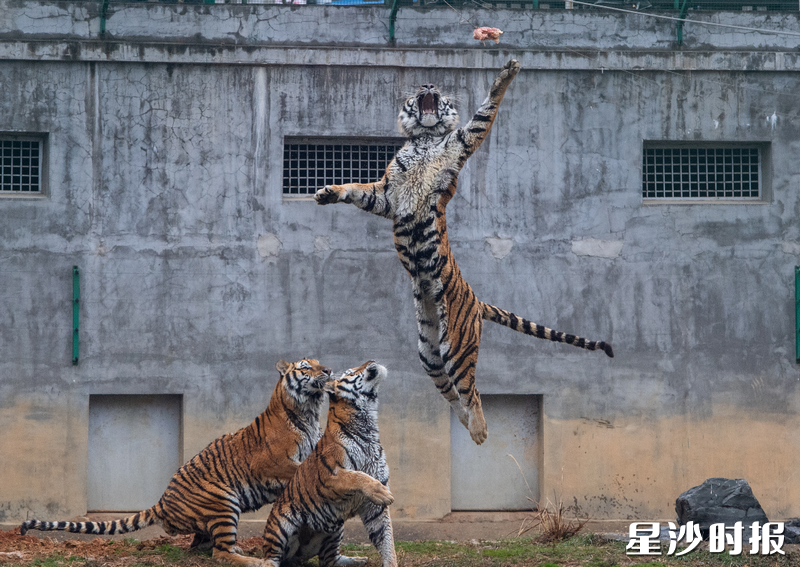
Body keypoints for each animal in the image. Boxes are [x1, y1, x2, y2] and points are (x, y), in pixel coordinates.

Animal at [20, 358, 332, 567]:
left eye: (320, 362)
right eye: (307, 367)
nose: (328, 371)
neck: (310, 411)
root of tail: (162, 501)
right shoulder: (272, 464)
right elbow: (302, 471)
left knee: (206, 546)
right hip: (224, 503)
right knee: (220, 553)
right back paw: (257, 561)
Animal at [261, 360, 397, 567]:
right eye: (350, 372)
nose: (372, 361)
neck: (369, 427)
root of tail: (295, 558)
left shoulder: (374, 509)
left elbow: (387, 542)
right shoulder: (330, 476)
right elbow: (356, 476)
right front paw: (382, 493)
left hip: (334, 529)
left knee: (329, 560)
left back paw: (358, 560)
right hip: (281, 524)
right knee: (272, 556)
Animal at [314, 59, 613, 446]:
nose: (427, 84)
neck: (425, 139)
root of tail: (477, 300)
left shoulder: (463, 141)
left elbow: (485, 111)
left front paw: (508, 71)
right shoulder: (387, 194)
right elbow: (356, 189)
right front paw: (326, 193)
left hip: (457, 344)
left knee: (472, 391)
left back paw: (480, 432)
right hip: (429, 351)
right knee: (451, 393)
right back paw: (465, 424)